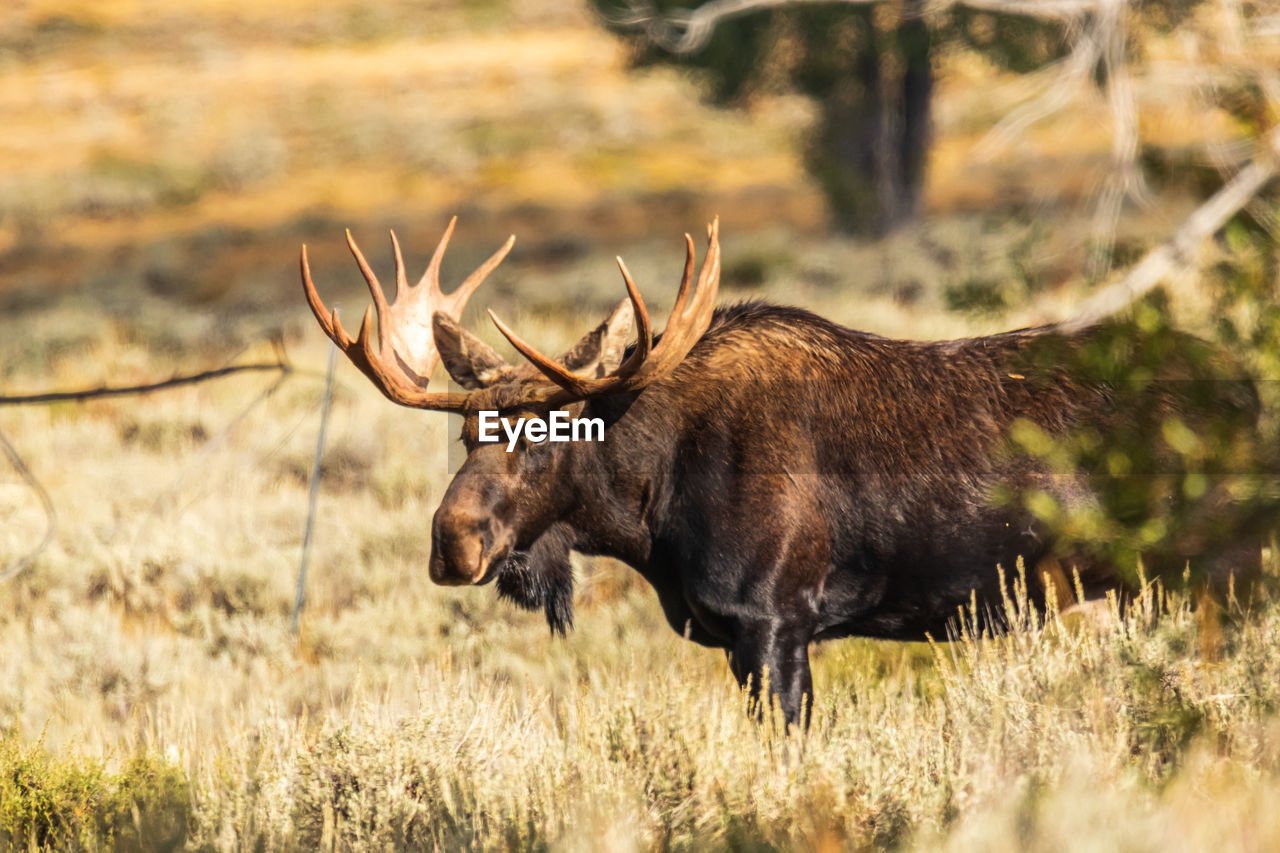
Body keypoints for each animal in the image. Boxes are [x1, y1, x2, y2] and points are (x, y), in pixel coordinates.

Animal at [299, 217, 1259, 722]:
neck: (654, 514)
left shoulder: (776, 622)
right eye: (467, 434)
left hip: (1214, 573)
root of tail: (1249, 386)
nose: (452, 542)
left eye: (549, 433)